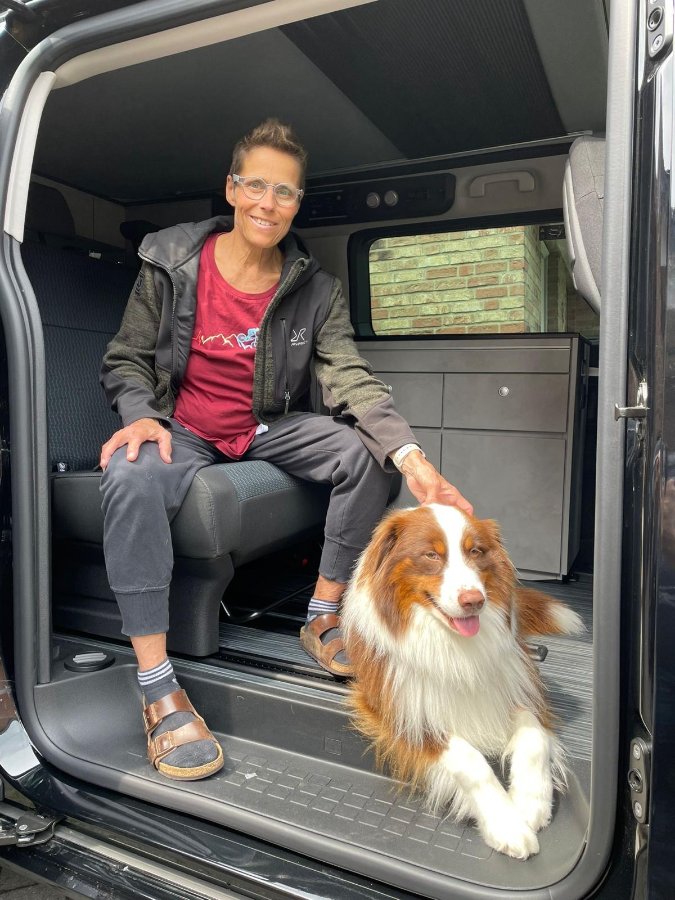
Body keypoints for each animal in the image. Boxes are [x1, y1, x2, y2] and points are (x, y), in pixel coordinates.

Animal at [341, 504, 584, 859]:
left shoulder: (513, 687)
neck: (451, 645)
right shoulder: (399, 712)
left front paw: (531, 802)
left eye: (475, 551)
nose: (474, 600)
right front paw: (507, 825)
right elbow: (471, 761)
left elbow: (534, 738)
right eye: (431, 555)